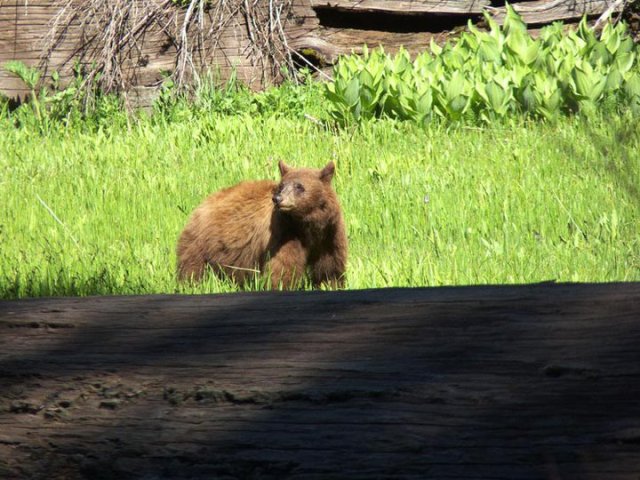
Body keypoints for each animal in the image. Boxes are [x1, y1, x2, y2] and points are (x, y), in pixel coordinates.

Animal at [176, 160, 347, 289]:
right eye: (281, 186)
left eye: (299, 186)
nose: (278, 199)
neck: (308, 225)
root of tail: (203, 203)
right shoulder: (284, 233)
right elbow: (282, 268)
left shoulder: (329, 234)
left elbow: (330, 265)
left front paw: (330, 284)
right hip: (201, 243)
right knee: (192, 268)